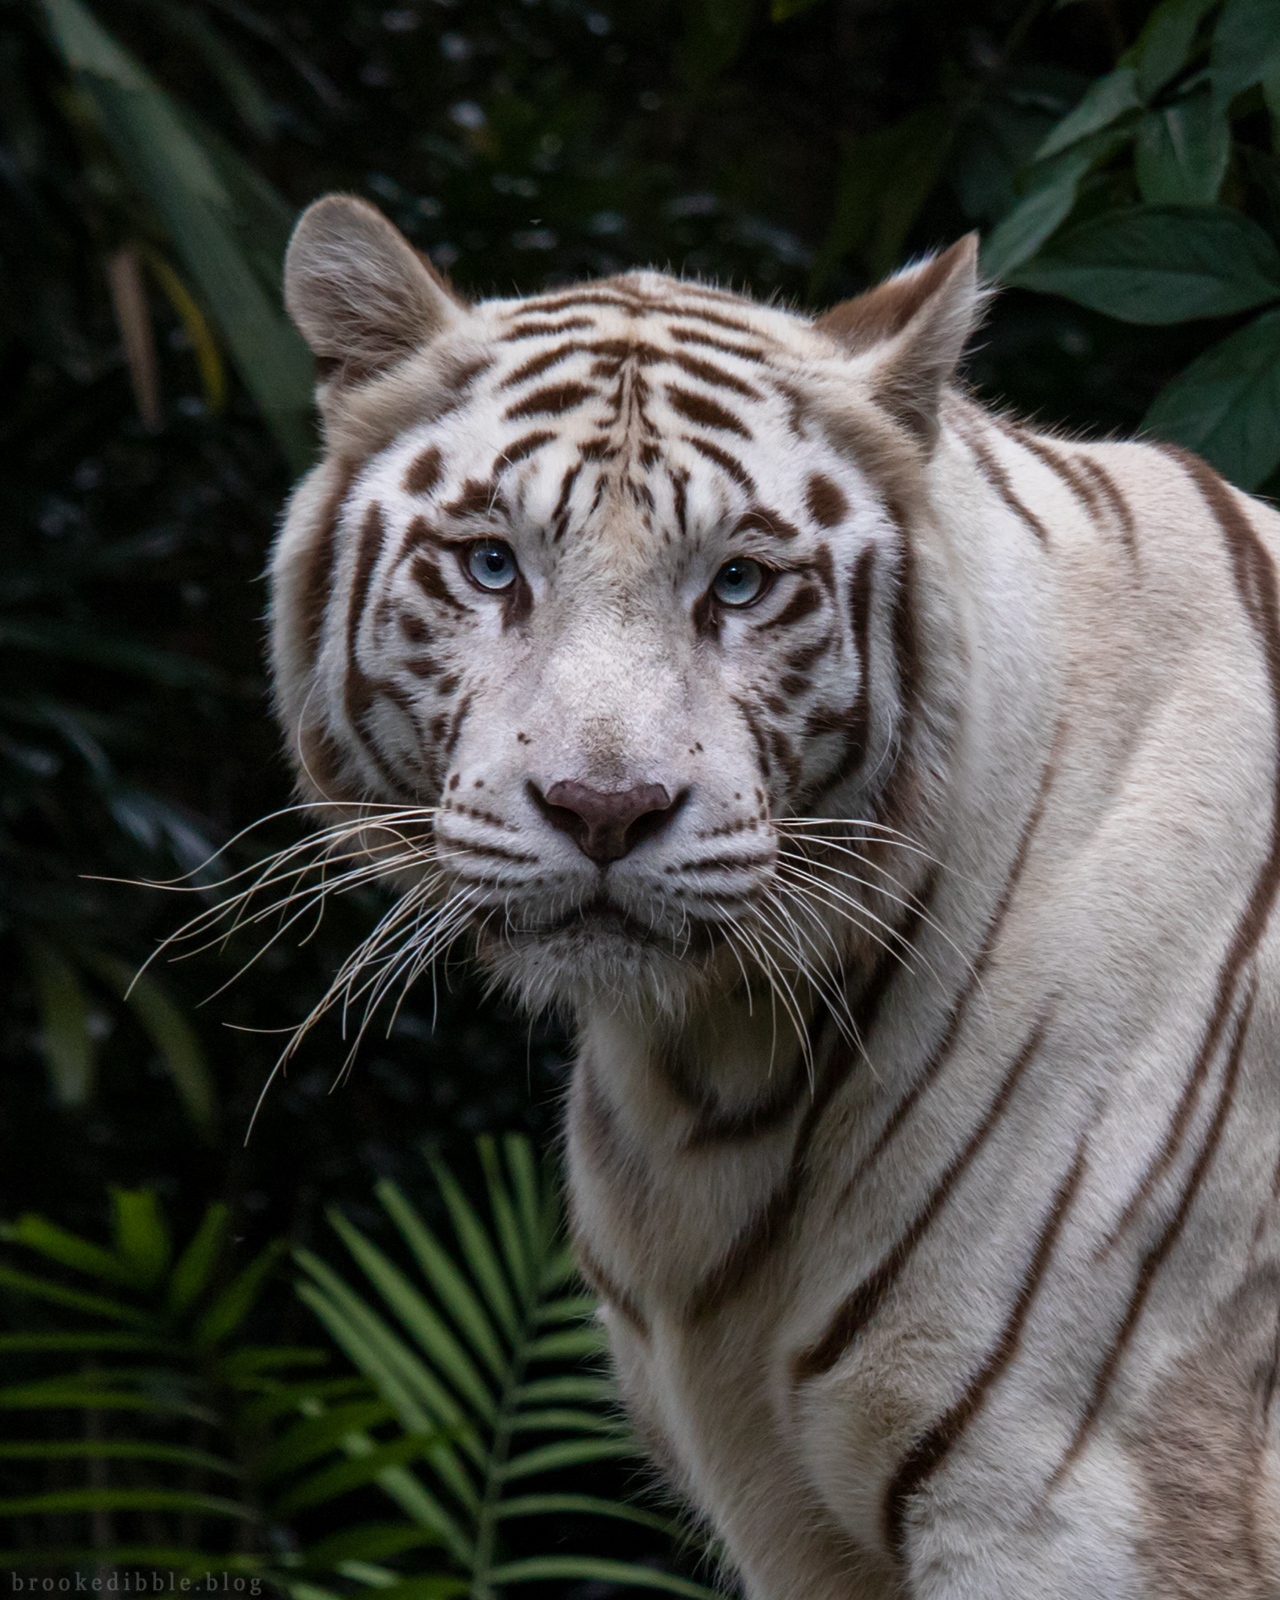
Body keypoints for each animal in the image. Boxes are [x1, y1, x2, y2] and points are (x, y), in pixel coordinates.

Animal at [267, 196, 1280, 1600]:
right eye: (489, 567)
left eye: (739, 584)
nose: (604, 806)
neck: (716, 1069)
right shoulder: (797, 1528)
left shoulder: (1072, 1498)